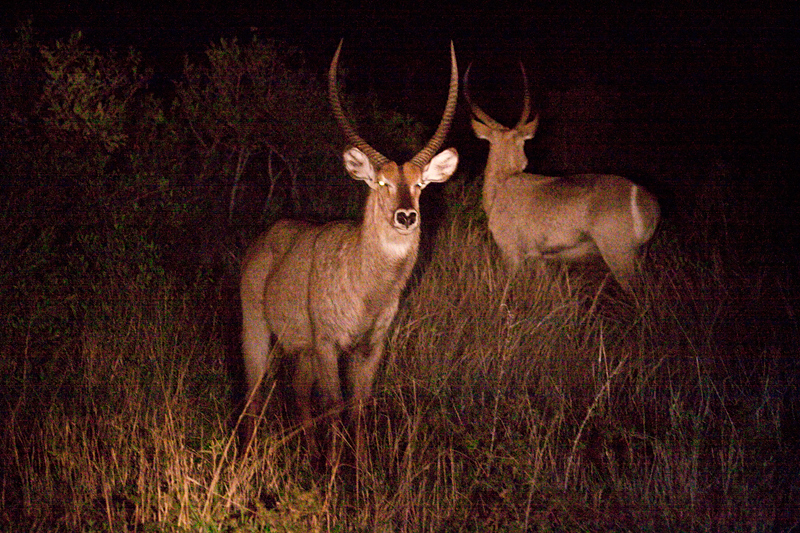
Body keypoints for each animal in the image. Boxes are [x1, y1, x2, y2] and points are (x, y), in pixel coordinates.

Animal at [238, 40, 460, 458]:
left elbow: (358, 407)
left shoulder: (370, 347)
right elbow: (334, 405)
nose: (406, 216)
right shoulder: (328, 344)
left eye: (420, 183)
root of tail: (267, 236)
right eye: (381, 183)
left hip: (302, 350)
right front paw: (336, 470)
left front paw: (359, 468)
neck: (368, 287)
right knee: (255, 395)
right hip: (257, 328)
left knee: (299, 394)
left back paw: (309, 454)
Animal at [466, 64, 660, 294]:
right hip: (639, 255)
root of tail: (650, 202)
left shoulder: (510, 251)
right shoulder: (538, 257)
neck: (503, 182)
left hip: (619, 254)